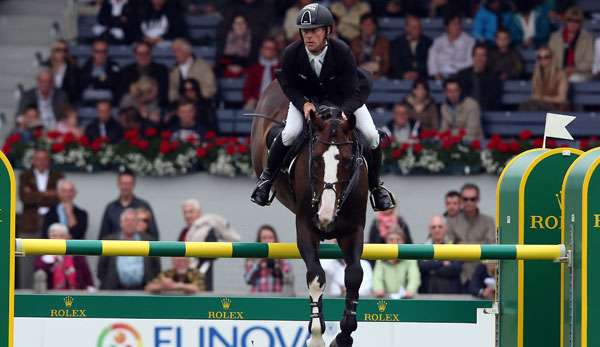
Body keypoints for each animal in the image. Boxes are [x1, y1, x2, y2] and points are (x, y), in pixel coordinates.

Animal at [250, 79, 370, 347]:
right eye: (314, 161)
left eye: (348, 162)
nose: (325, 217)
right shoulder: (305, 227)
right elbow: (316, 276)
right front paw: (316, 334)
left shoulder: (354, 229)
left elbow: (354, 275)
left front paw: (344, 335)